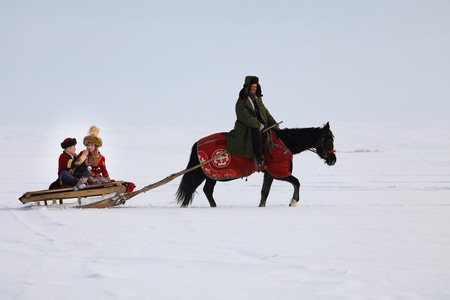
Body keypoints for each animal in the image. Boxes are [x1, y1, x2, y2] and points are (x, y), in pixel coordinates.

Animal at [174, 122, 336, 206]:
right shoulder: (278, 172)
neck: (284, 143)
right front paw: (293, 201)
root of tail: (197, 143)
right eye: (328, 139)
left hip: (211, 175)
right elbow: (296, 181)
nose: (333, 159)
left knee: (207, 190)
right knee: (192, 189)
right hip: (201, 173)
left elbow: (265, 192)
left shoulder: (269, 174)